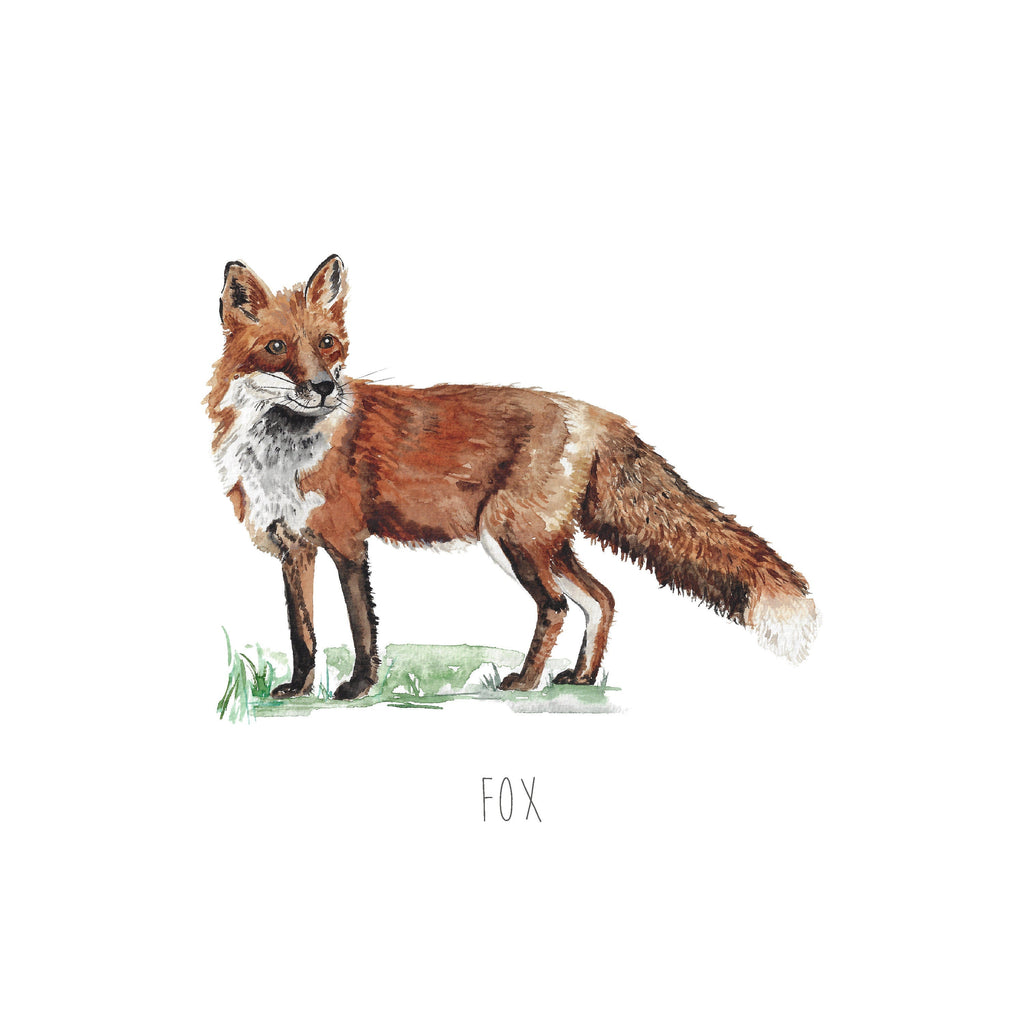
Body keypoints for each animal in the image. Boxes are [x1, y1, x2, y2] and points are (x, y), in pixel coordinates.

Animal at [207, 255, 818, 700]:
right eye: (277, 348)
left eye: (327, 344)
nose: (325, 387)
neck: (284, 451)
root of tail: (598, 415)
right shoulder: (294, 548)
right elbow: (303, 632)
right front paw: (298, 688)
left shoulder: (348, 542)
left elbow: (362, 628)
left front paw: (357, 687)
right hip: (541, 541)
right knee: (603, 598)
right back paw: (580, 678)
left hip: (510, 537)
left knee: (558, 607)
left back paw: (526, 682)